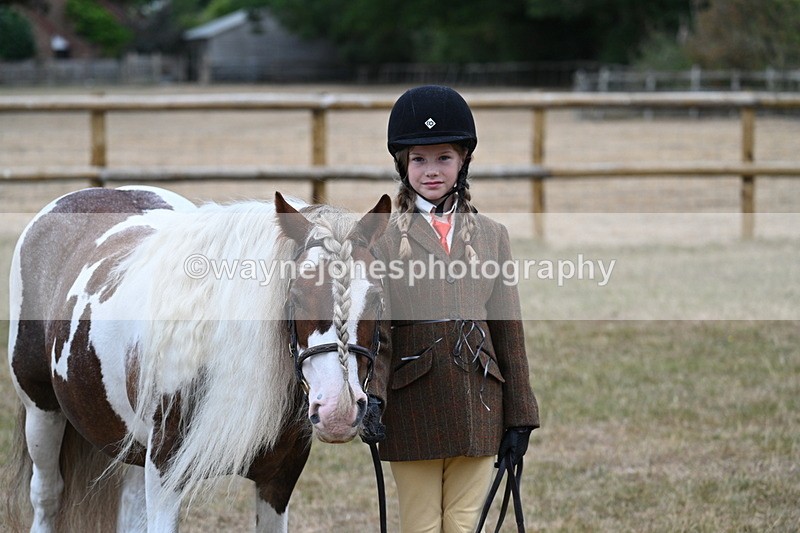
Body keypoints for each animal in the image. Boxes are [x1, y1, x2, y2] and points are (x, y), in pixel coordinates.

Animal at [5, 185, 391, 532]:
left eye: (376, 298)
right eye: (295, 295)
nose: (338, 411)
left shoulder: (278, 481)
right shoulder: (164, 477)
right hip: (42, 414)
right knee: (47, 496)